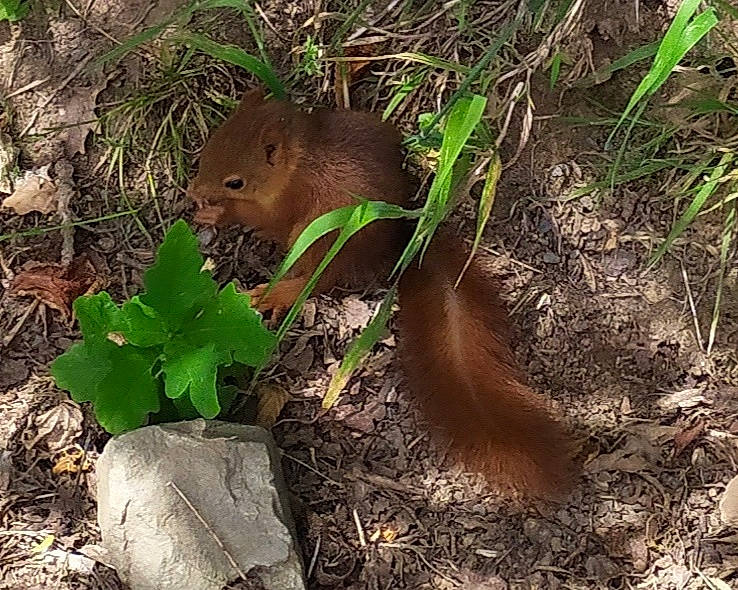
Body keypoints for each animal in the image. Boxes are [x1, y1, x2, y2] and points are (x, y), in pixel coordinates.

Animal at [187, 88, 577, 499]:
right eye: (207, 151)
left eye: (235, 182)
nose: (195, 189)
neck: (299, 159)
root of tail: (396, 244)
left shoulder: (285, 205)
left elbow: (259, 218)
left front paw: (217, 213)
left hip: (320, 240)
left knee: (317, 280)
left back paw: (275, 294)